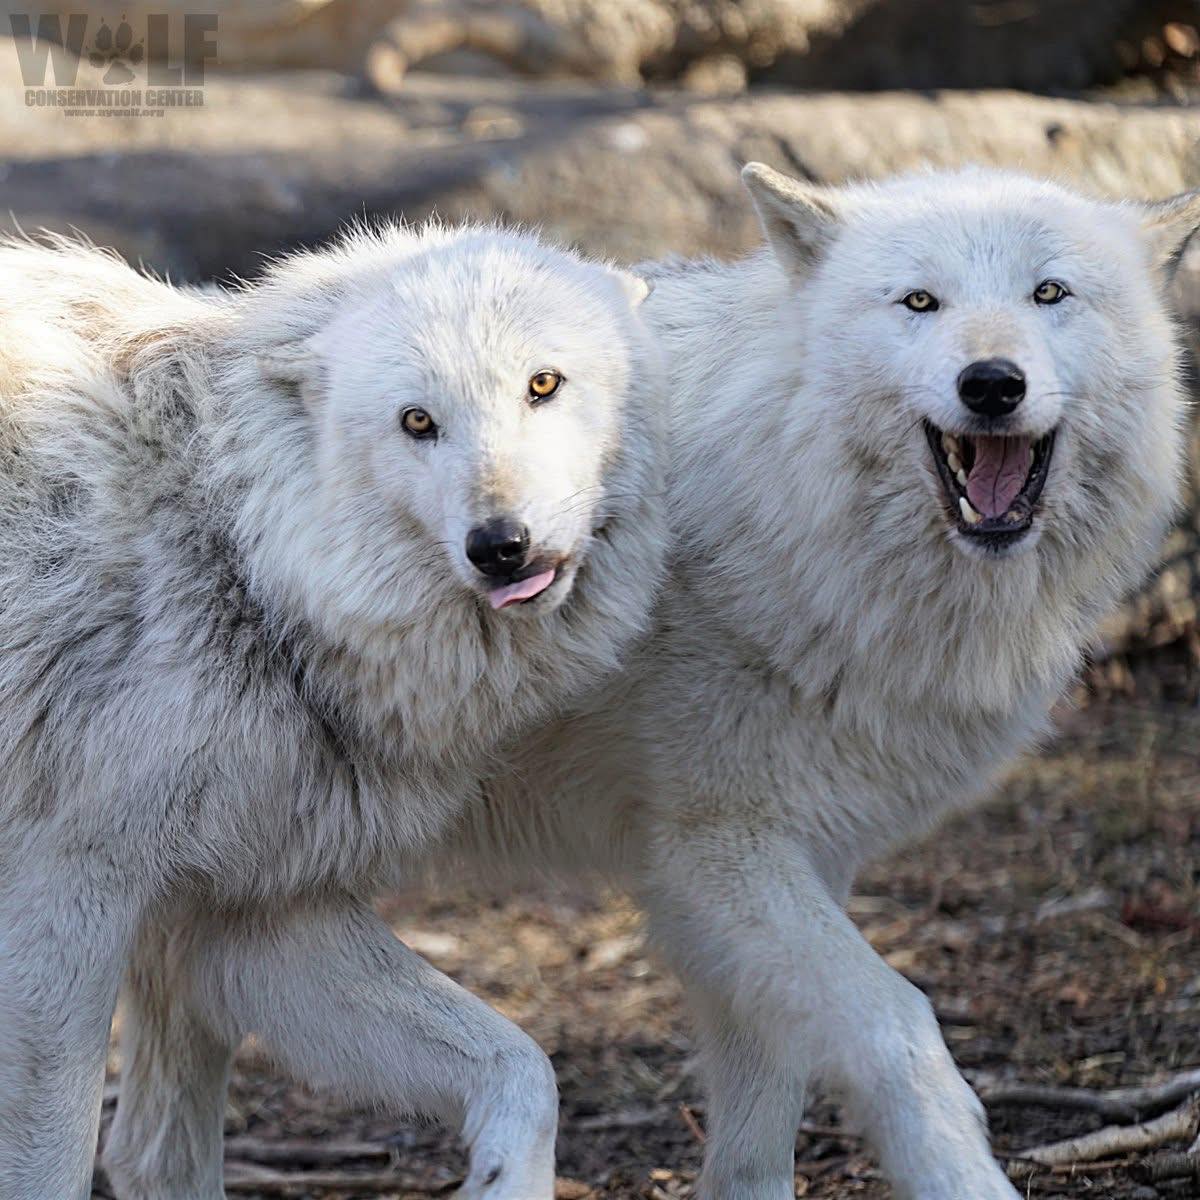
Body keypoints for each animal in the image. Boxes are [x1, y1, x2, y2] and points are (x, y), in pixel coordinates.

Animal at [0, 225, 666, 1200]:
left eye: (543, 385)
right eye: (417, 422)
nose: (500, 546)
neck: (237, 547)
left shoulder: (250, 908)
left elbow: (523, 1067)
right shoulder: (61, 902)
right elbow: (53, 1163)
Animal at [104, 167, 1197, 1200]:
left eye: (1050, 292)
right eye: (919, 302)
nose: (992, 383)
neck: (785, 506)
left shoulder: (799, 857)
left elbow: (766, 1114)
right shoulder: (714, 850)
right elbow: (899, 1024)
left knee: (151, 1149)